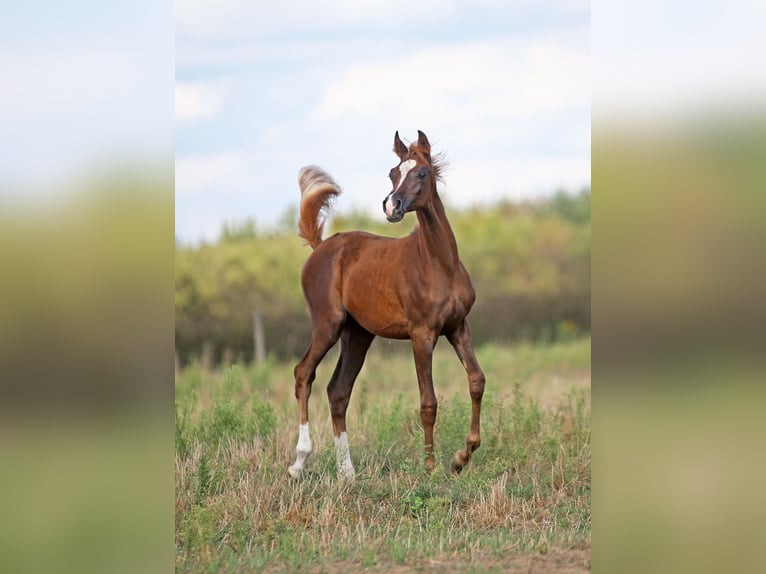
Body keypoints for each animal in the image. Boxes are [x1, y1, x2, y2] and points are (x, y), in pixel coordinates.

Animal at [287, 130, 485, 480]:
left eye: (422, 172)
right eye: (393, 173)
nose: (392, 205)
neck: (439, 265)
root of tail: (320, 246)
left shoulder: (458, 327)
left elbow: (476, 381)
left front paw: (461, 458)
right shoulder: (422, 334)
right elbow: (428, 401)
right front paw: (431, 468)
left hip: (357, 334)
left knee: (338, 391)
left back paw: (347, 474)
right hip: (327, 325)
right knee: (303, 374)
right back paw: (299, 463)